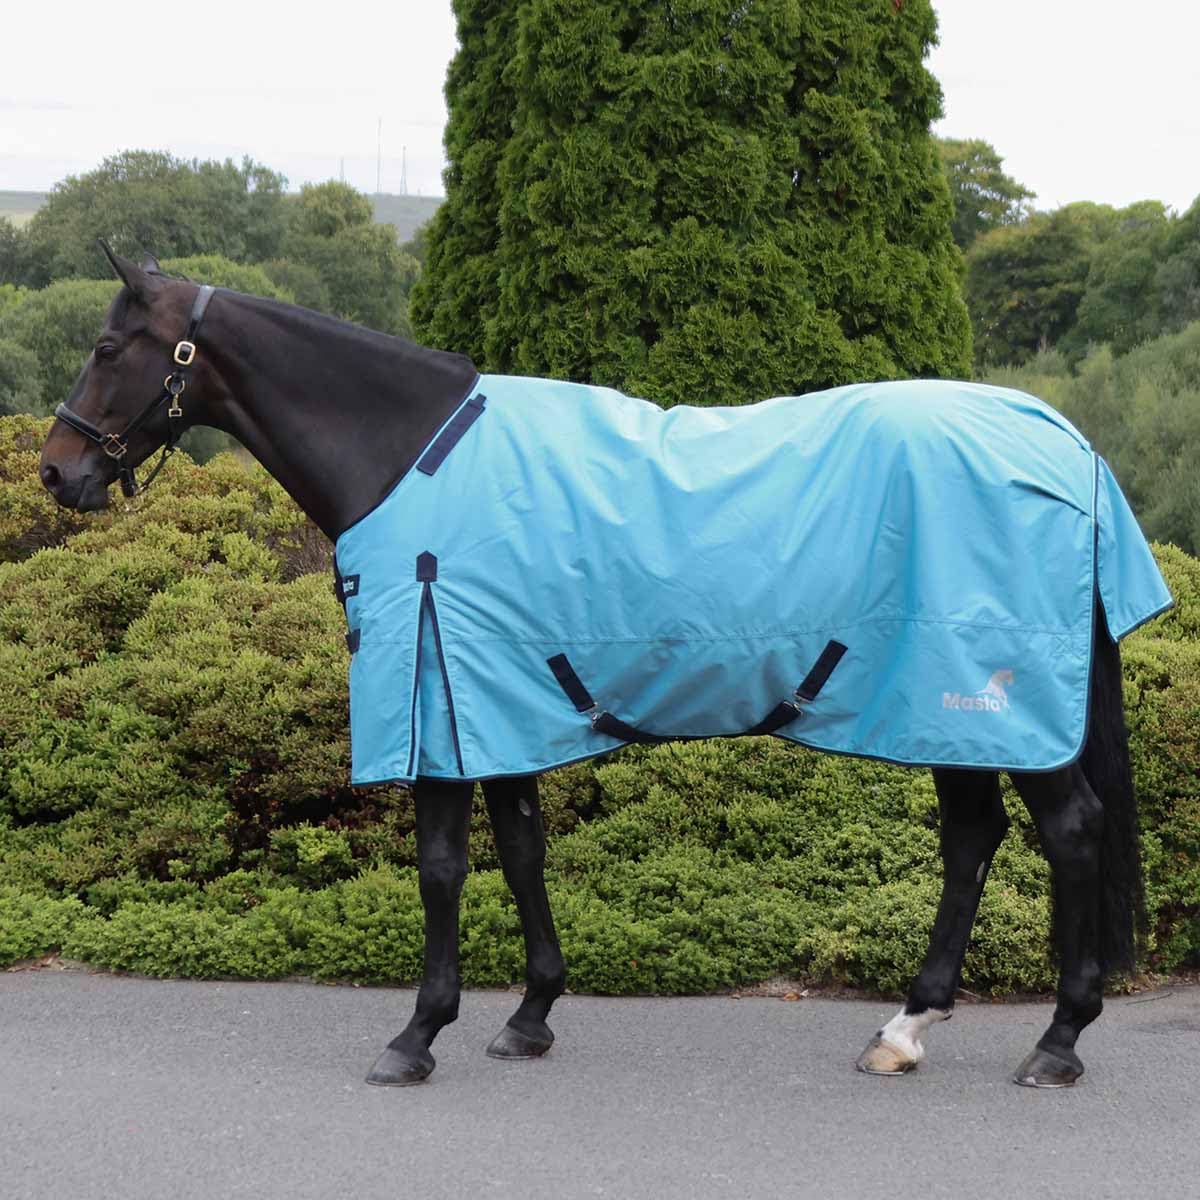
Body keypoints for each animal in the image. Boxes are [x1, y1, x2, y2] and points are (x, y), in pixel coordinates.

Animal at [39, 245, 1172, 1090]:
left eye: (108, 346)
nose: (57, 471)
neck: (406, 454)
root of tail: (1061, 443)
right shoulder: (494, 698)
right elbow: (522, 849)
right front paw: (530, 1013)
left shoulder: (438, 690)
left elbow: (443, 866)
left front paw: (417, 1035)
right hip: (937, 706)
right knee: (972, 839)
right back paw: (904, 1029)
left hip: (993, 697)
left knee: (1069, 833)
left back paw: (1057, 1041)